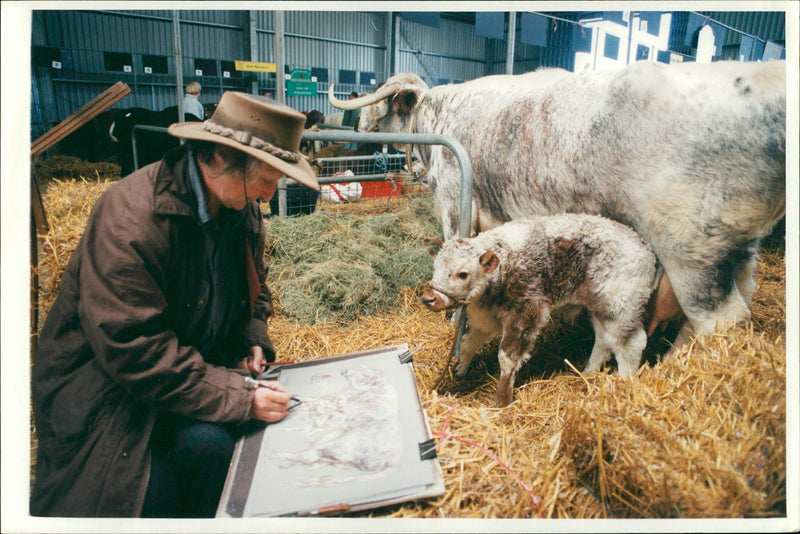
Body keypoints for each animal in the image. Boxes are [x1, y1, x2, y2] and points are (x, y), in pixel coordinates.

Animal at [424, 214, 656, 406]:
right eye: (435, 268)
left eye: (462, 274)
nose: (429, 298)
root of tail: (646, 251)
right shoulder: (485, 318)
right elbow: (468, 343)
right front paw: (460, 371)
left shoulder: (527, 311)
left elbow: (507, 357)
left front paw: (502, 400)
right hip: (599, 306)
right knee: (604, 340)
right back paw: (588, 373)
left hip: (620, 306)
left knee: (631, 343)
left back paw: (623, 384)